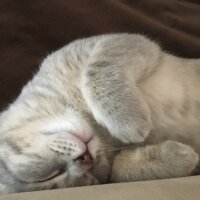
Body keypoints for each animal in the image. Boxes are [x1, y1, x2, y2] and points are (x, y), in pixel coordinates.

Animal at [0, 34, 200, 194]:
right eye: (53, 179)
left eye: (48, 176)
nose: (84, 159)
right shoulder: (109, 169)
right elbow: (119, 169)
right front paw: (185, 157)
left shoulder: (118, 43)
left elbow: (96, 72)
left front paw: (128, 123)